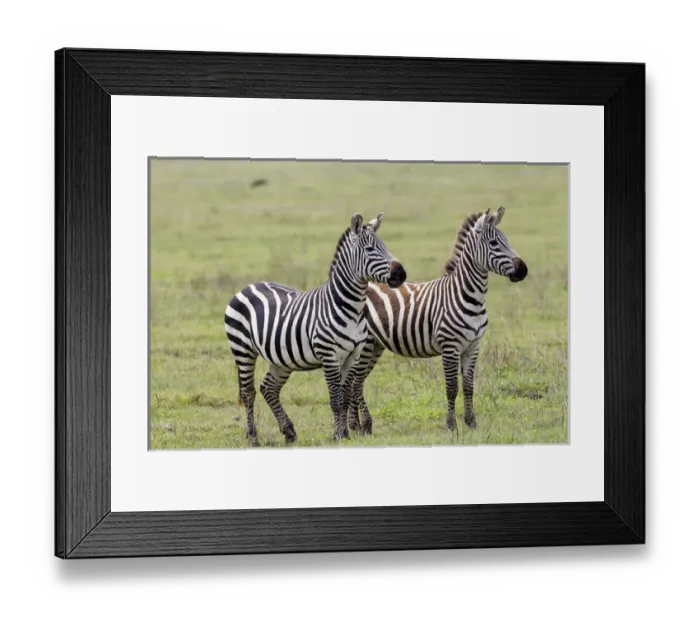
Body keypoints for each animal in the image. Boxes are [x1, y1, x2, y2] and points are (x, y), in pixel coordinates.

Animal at [225, 213, 406, 446]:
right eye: (370, 249)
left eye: (385, 246)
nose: (401, 274)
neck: (351, 308)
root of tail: (247, 287)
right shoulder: (329, 355)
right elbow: (336, 399)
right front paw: (338, 435)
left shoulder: (352, 355)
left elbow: (345, 397)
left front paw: (345, 433)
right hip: (243, 350)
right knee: (249, 393)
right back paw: (253, 438)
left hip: (281, 358)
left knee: (269, 388)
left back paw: (289, 431)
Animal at [347, 206, 528, 435]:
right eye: (495, 243)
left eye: (507, 240)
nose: (523, 270)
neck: (468, 295)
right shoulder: (450, 346)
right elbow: (452, 388)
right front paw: (451, 426)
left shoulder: (473, 346)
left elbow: (469, 386)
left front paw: (471, 423)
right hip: (365, 346)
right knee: (354, 382)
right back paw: (360, 425)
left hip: (375, 346)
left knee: (356, 382)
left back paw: (359, 426)